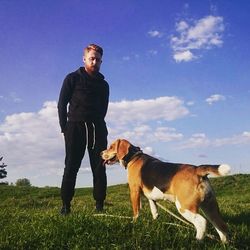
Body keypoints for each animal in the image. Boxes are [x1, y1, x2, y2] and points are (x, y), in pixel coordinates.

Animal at [101, 139, 230, 242]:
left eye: (111, 147)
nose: (100, 153)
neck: (133, 157)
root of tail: (197, 170)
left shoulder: (134, 191)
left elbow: (136, 210)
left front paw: (134, 222)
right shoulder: (151, 197)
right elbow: (154, 211)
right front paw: (155, 222)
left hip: (184, 206)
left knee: (201, 222)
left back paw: (196, 241)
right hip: (210, 206)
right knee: (221, 225)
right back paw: (224, 243)